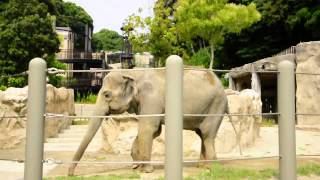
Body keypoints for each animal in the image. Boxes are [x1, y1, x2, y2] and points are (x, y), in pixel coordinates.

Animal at [68, 68, 228, 176]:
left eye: (107, 95)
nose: (71, 174)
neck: (133, 73)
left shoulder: (151, 99)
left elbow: (148, 127)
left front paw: (146, 170)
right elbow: (154, 131)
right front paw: (136, 166)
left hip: (216, 106)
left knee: (207, 134)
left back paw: (212, 167)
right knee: (202, 134)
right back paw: (202, 166)